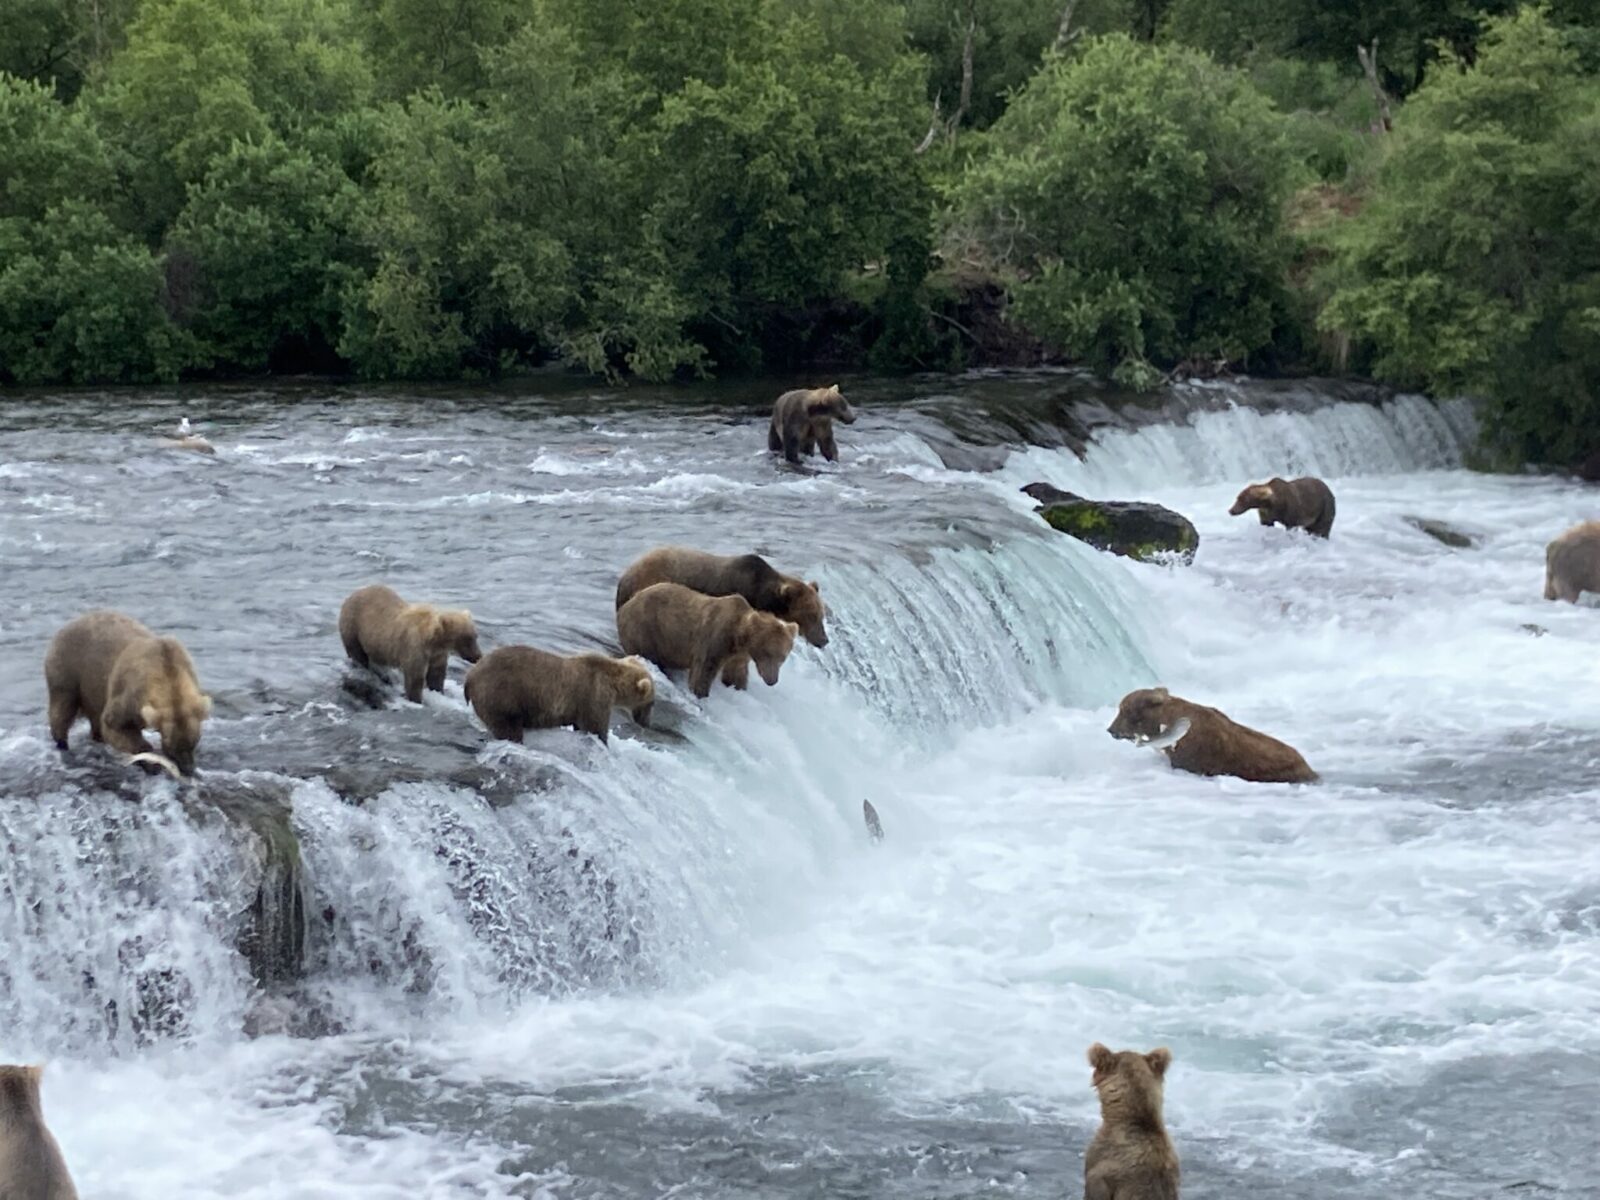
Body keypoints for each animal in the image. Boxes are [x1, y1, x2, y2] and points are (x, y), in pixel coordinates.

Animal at [44, 609, 213, 777]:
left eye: (194, 742)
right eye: (170, 746)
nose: (187, 769)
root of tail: (68, 624)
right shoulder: (130, 694)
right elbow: (114, 726)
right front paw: (151, 762)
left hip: (93, 688)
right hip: (68, 671)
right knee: (62, 711)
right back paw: (63, 745)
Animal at [338, 584, 481, 703]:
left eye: (475, 636)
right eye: (466, 638)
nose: (477, 656)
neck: (434, 642)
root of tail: (350, 596)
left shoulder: (437, 654)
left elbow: (436, 675)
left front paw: (438, 690)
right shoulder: (414, 647)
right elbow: (415, 678)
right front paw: (416, 699)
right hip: (353, 628)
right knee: (358, 654)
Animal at [463, 646, 654, 745]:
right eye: (651, 703)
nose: (646, 723)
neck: (613, 683)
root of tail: (470, 676)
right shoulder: (593, 694)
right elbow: (595, 726)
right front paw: (603, 741)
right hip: (502, 695)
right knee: (507, 727)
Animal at [616, 582, 799, 699]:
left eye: (782, 657)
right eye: (768, 653)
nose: (772, 680)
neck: (739, 638)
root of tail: (626, 605)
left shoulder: (738, 656)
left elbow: (736, 674)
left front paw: (737, 687)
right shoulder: (714, 639)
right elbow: (703, 671)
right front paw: (700, 692)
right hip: (646, 630)